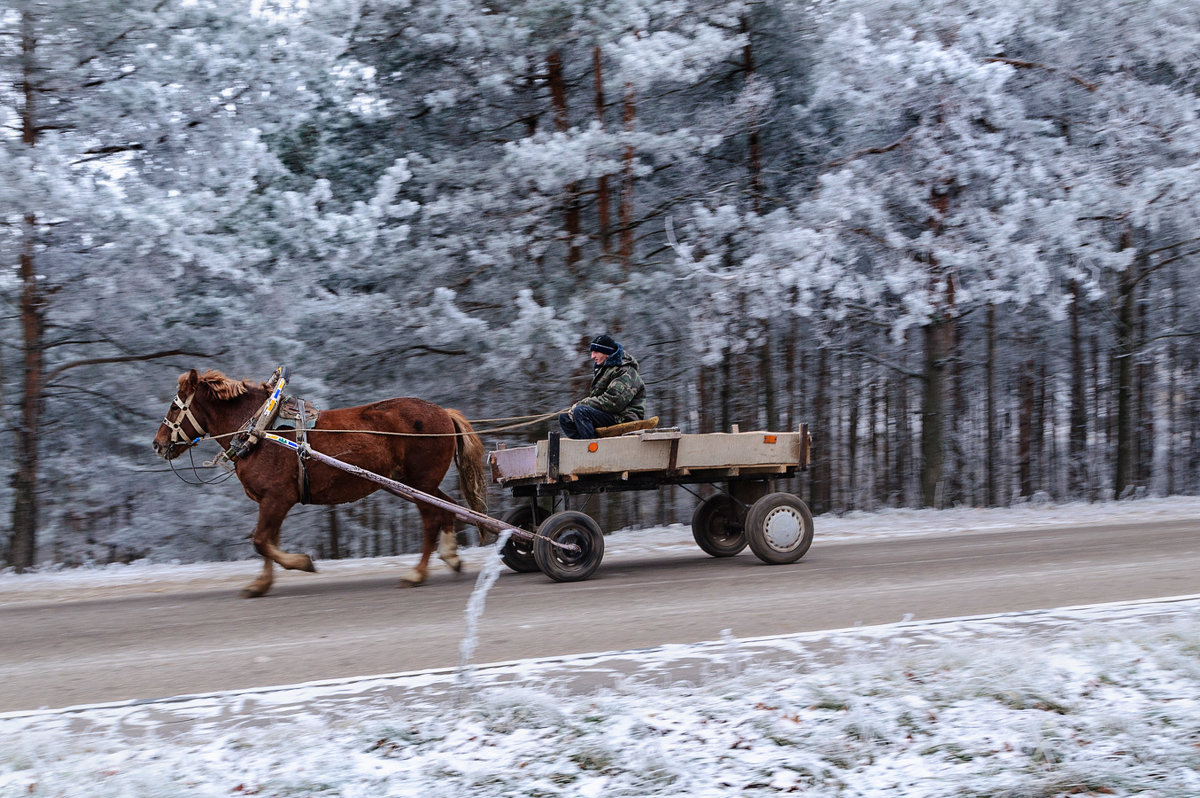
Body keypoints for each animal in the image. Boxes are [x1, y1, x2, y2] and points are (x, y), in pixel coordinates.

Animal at [151, 369, 487, 595]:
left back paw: (417, 574)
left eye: (174, 406)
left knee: (432, 518)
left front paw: (301, 563)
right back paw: (450, 556)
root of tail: (444, 412)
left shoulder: (277, 498)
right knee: (448, 507)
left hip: (420, 483)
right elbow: (268, 541)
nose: (157, 443)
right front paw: (262, 584)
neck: (259, 429)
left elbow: (261, 541)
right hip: (420, 483)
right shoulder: (270, 501)